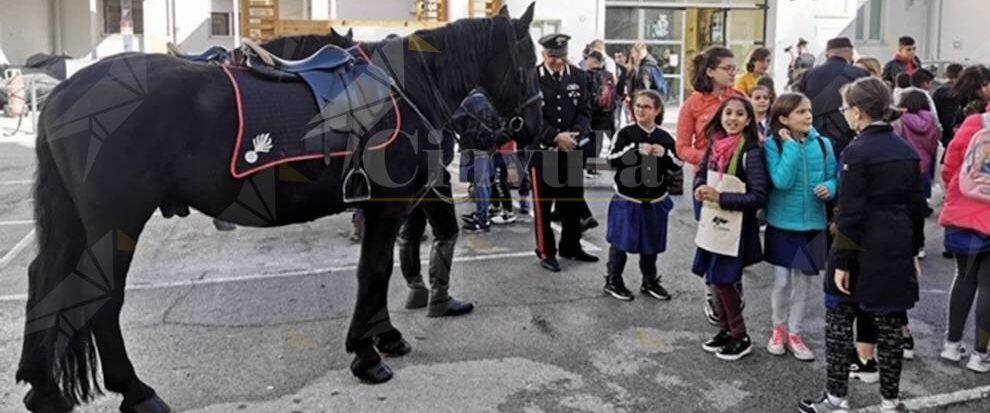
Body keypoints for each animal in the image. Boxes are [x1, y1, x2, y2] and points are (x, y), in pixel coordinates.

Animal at [15, 4, 544, 410]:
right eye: (530, 62)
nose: (533, 126)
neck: (407, 86)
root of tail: (63, 93)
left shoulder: (383, 211)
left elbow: (378, 273)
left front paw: (384, 338)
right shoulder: (385, 208)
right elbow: (373, 273)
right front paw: (367, 354)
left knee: (45, 280)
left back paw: (43, 387)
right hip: (116, 223)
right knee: (102, 297)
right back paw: (136, 391)